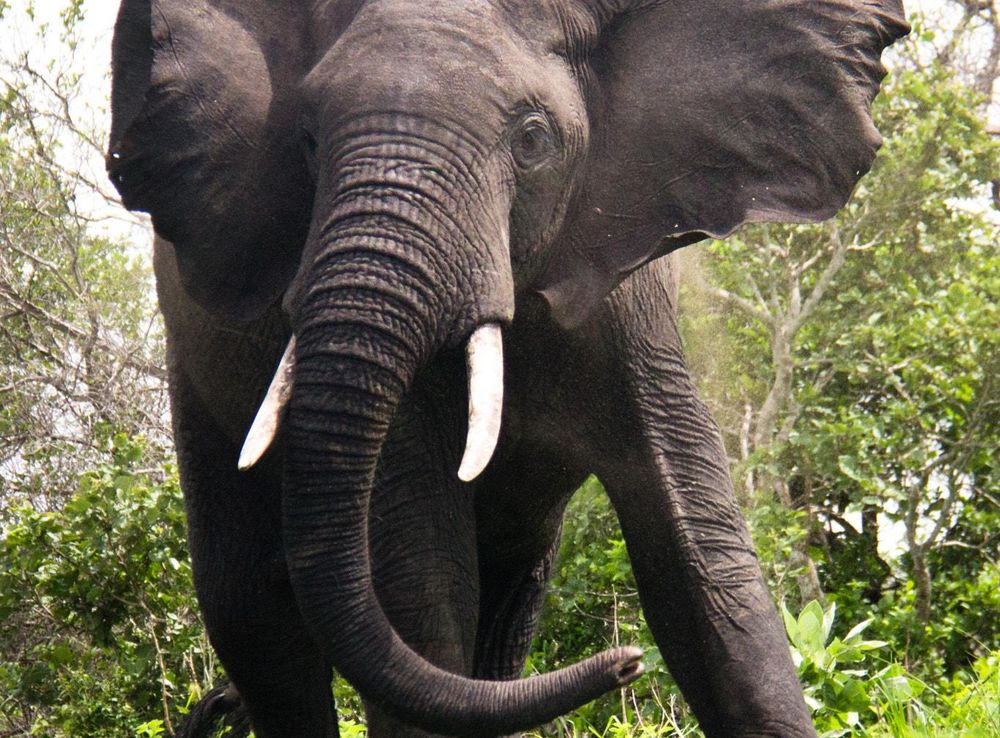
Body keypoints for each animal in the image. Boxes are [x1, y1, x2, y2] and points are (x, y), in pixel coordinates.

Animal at [106, 0, 908, 736]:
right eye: (305, 141)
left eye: (532, 140)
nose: (625, 664)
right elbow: (420, 576)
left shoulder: (635, 308)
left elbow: (700, 560)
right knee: (253, 615)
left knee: (505, 610)